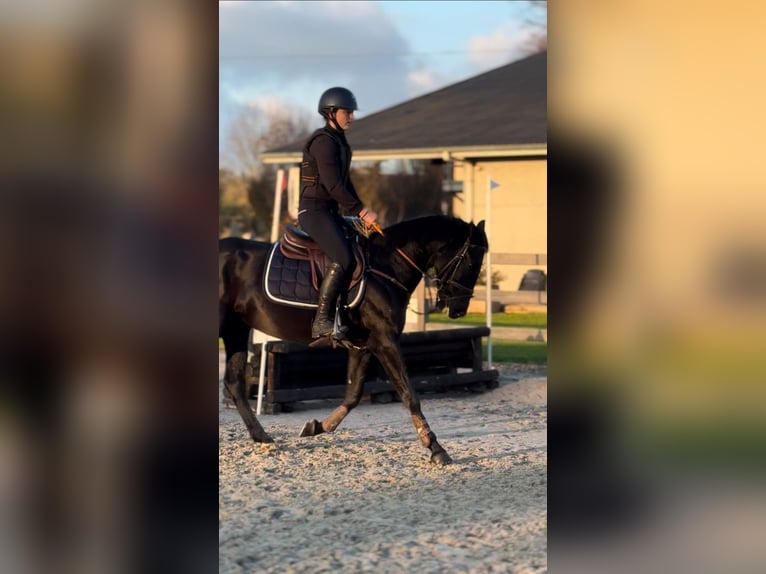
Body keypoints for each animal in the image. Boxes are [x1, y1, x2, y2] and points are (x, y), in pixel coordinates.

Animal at [219, 214, 488, 465]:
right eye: (472, 262)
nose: (459, 310)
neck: (387, 266)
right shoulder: (385, 340)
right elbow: (409, 394)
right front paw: (436, 448)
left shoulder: (364, 346)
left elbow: (353, 395)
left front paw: (317, 427)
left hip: (236, 330)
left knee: (234, 384)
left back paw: (262, 437)